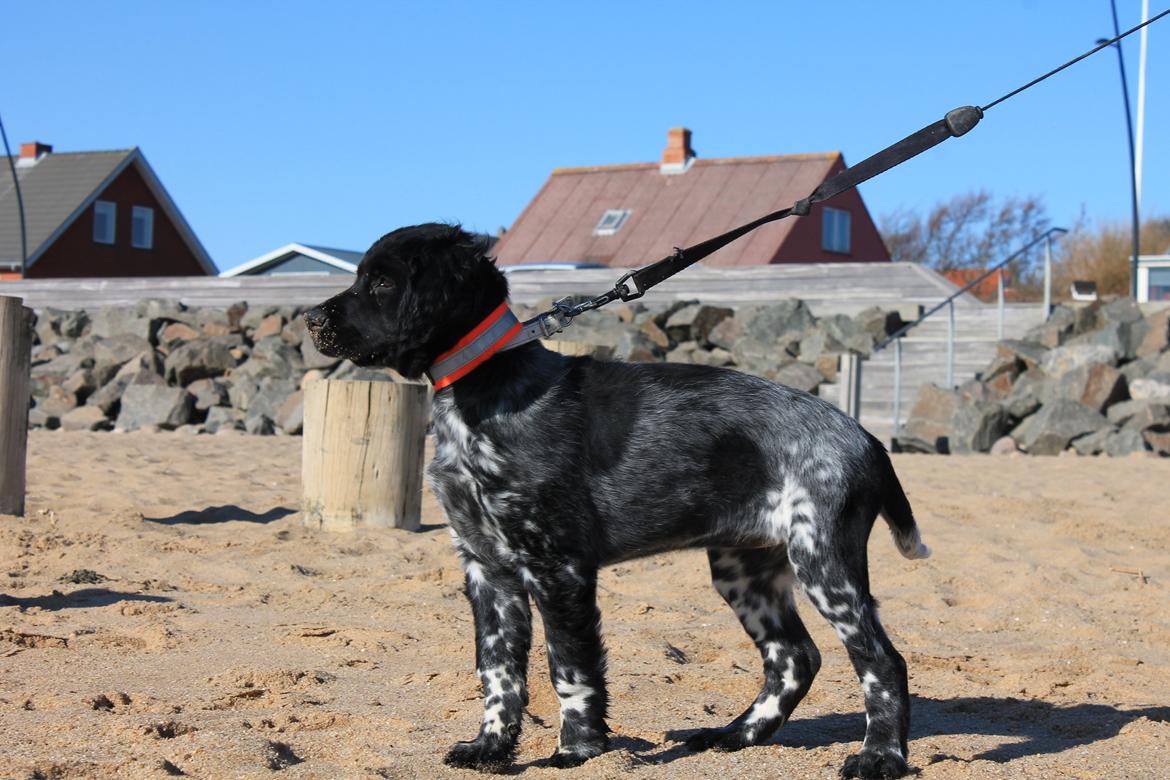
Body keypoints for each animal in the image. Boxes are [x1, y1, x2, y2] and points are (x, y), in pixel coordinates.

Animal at [308, 222, 931, 776]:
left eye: (382, 283)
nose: (311, 319)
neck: (482, 392)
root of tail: (866, 437)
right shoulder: (486, 568)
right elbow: (497, 668)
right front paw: (489, 749)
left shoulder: (557, 566)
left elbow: (569, 665)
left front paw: (578, 751)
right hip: (745, 568)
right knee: (794, 657)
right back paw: (736, 735)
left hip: (823, 560)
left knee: (881, 660)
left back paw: (881, 758)